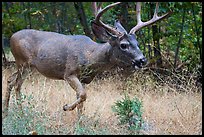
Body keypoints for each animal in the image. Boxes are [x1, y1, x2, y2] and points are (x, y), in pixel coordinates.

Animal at [2, 1, 172, 117]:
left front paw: (80, 121)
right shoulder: (69, 73)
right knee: (16, 83)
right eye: (123, 45)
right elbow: (83, 95)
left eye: (137, 43)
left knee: (11, 81)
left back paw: (8, 110)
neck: (90, 56)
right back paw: (19, 112)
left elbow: (82, 100)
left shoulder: (85, 79)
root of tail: (11, 37)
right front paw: (66, 107)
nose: (142, 60)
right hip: (22, 61)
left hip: (28, 67)